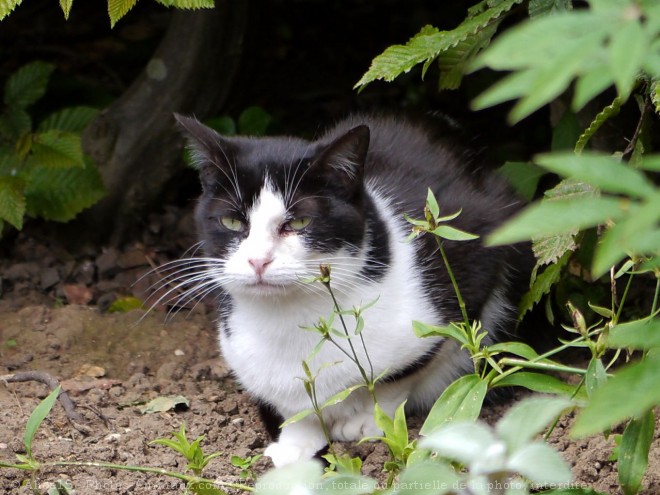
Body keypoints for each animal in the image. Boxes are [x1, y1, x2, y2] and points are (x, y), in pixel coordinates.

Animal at [170, 115, 532, 468]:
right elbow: (292, 404)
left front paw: (368, 421)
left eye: (299, 222)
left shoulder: (475, 255)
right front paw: (295, 443)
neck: (289, 315)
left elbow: (404, 373)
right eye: (232, 222)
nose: (258, 260)